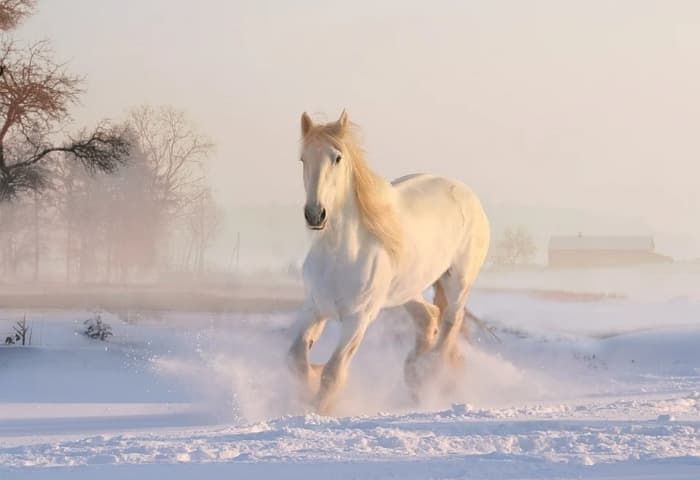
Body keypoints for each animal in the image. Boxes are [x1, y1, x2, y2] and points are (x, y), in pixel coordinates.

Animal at [288, 110, 490, 414]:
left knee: (450, 323)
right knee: (429, 317)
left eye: (337, 158)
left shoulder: (358, 319)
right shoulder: (314, 307)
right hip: (406, 290)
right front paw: (310, 381)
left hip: (458, 282)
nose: (315, 214)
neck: (340, 254)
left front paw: (318, 408)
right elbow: (296, 359)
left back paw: (428, 374)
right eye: (303, 158)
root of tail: (467, 194)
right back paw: (414, 375)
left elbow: (333, 373)